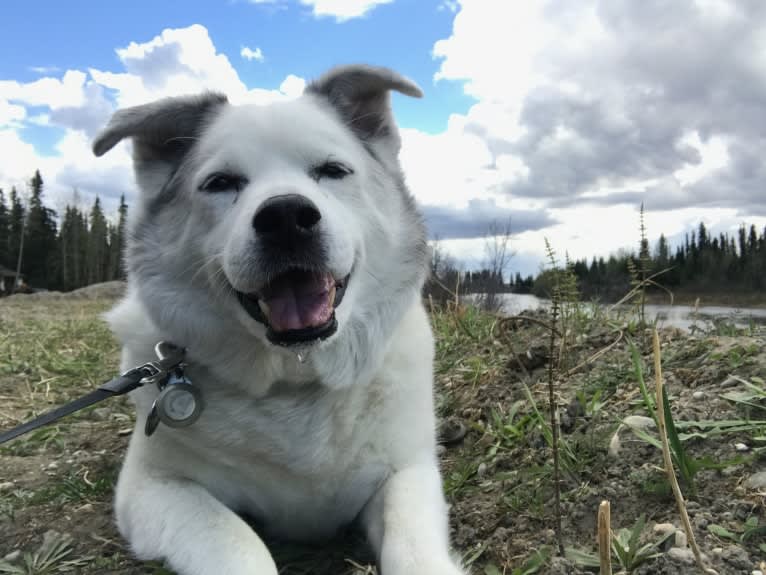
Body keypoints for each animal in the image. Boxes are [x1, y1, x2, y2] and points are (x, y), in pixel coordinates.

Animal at [93, 64, 464, 575]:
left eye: (333, 171)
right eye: (220, 182)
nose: (287, 216)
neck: (294, 381)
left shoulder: (408, 470)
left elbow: (412, 550)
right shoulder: (153, 485)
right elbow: (237, 542)